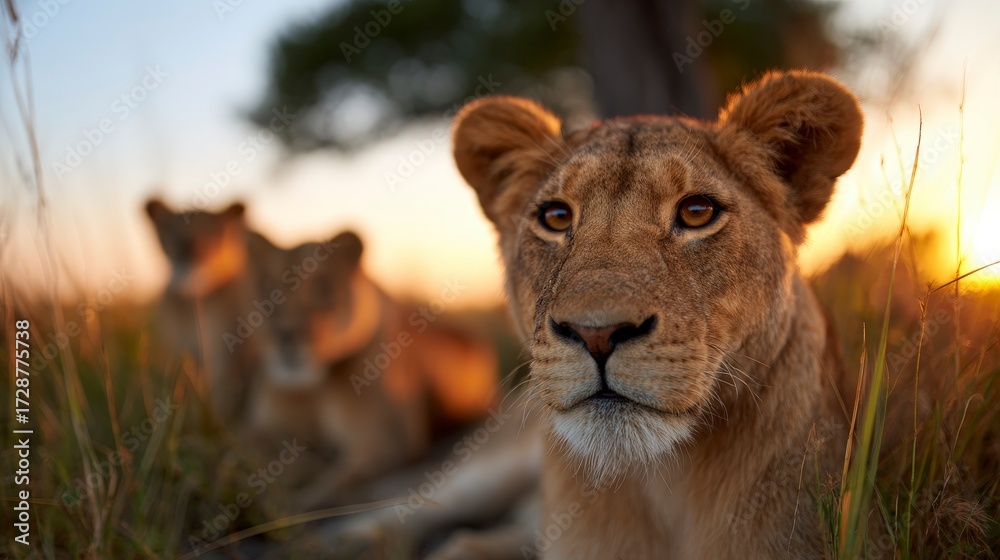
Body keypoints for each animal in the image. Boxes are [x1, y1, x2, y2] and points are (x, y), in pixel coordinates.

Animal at [145, 199, 257, 423]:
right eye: (170, 229)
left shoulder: (221, 353)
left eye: (211, 231)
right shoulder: (180, 352)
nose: (189, 246)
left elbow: (217, 396)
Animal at [242, 231, 500, 511]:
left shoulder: (386, 439)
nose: (285, 336)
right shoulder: (261, 427)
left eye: (323, 287)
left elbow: (332, 485)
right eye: (268, 288)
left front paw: (290, 503)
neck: (314, 387)